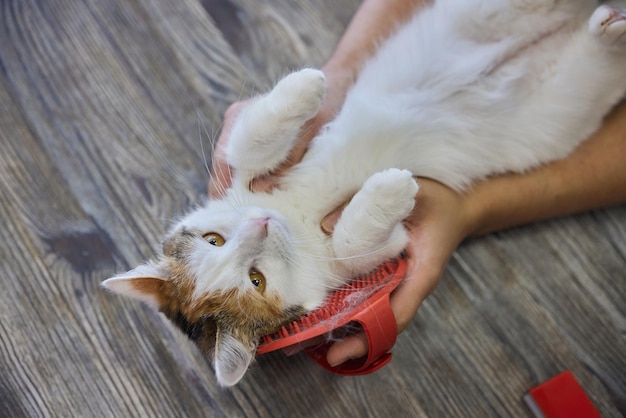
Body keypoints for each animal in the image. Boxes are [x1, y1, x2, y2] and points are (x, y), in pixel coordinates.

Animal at [100, 0, 624, 386]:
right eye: (256, 280)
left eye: (214, 239)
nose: (262, 225)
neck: (295, 216)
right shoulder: (372, 255)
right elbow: (358, 240)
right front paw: (390, 190)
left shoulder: (244, 176)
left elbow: (249, 140)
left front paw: (305, 87)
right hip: (559, 105)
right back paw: (610, 30)